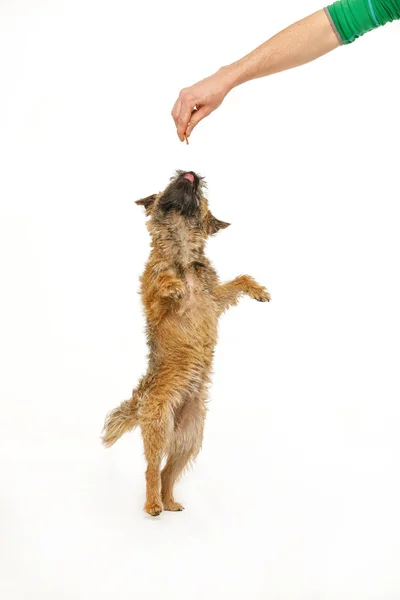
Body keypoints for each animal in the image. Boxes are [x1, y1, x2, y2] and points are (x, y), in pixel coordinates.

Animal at [101, 170, 270, 516]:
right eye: (168, 182)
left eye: (202, 195)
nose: (187, 172)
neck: (180, 249)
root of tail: (141, 397)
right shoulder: (154, 302)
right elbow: (162, 286)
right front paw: (174, 285)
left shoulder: (215, 299)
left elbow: (239, 280)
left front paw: (258, 290)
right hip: (158, 426)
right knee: (152, 468)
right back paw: (153, 505)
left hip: (190, 438)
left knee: (168, 471)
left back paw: (170, 502)